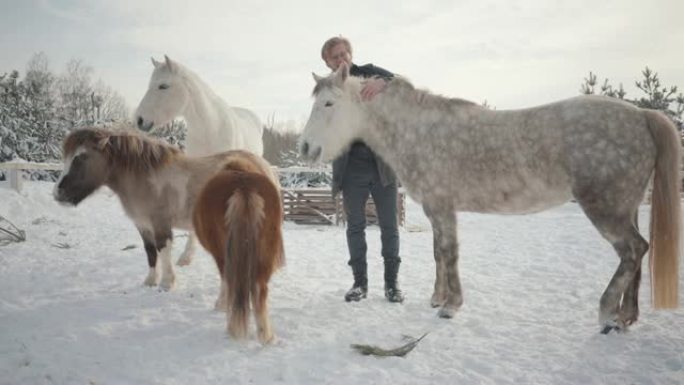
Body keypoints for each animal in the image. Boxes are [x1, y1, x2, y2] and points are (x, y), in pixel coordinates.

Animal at [191, 153, 284, 342]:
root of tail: (244, 186)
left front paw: (220, 305)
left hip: (224, 253)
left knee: (231, 281)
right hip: (264, 252)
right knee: (259, 289)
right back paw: (266, 337)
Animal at [302, 63, 680, 332]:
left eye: (329, 103)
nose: (305, 147)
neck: (419, 132)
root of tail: (641, 115)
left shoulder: (443, 208)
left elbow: (450, 254)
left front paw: (451, 306)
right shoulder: (437, 210)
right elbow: (439, 253)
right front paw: (438, 299)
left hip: (606, 209)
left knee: (633, 250)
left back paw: (606, 313)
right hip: (627, 207)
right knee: (637, 255)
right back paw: (626, 317)